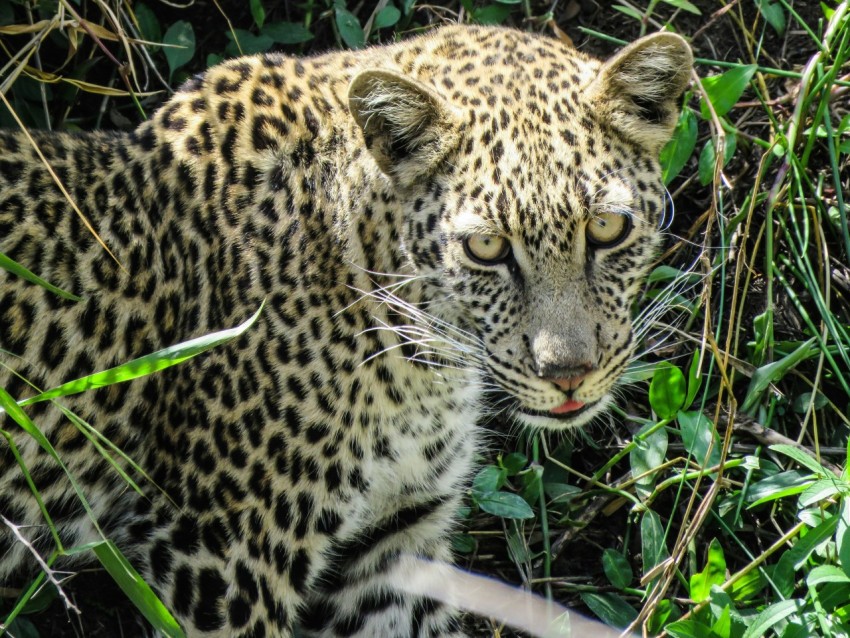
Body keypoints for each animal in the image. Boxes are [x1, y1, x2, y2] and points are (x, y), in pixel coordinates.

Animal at [0, 25, 688, 638]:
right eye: (487, 247)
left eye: (607, 229)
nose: (568, 375)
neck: (422, 364)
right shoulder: (219, 554)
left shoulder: (393, 538)